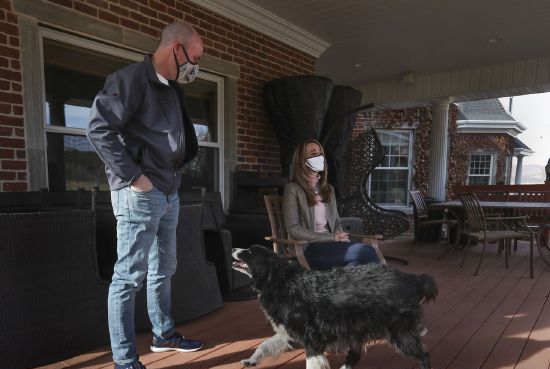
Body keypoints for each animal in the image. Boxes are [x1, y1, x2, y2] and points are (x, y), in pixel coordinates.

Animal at [233, 244, 440, 368]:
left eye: (249, 252)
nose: (234, 247)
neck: (280, 280)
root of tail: (411, 278)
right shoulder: (289, 333)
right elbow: (265, 345)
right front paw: (251, 360)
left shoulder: (311, 340)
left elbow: (313, 363)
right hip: (358, 329)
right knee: (354, 356)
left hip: (398, 332)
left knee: (424, 356)